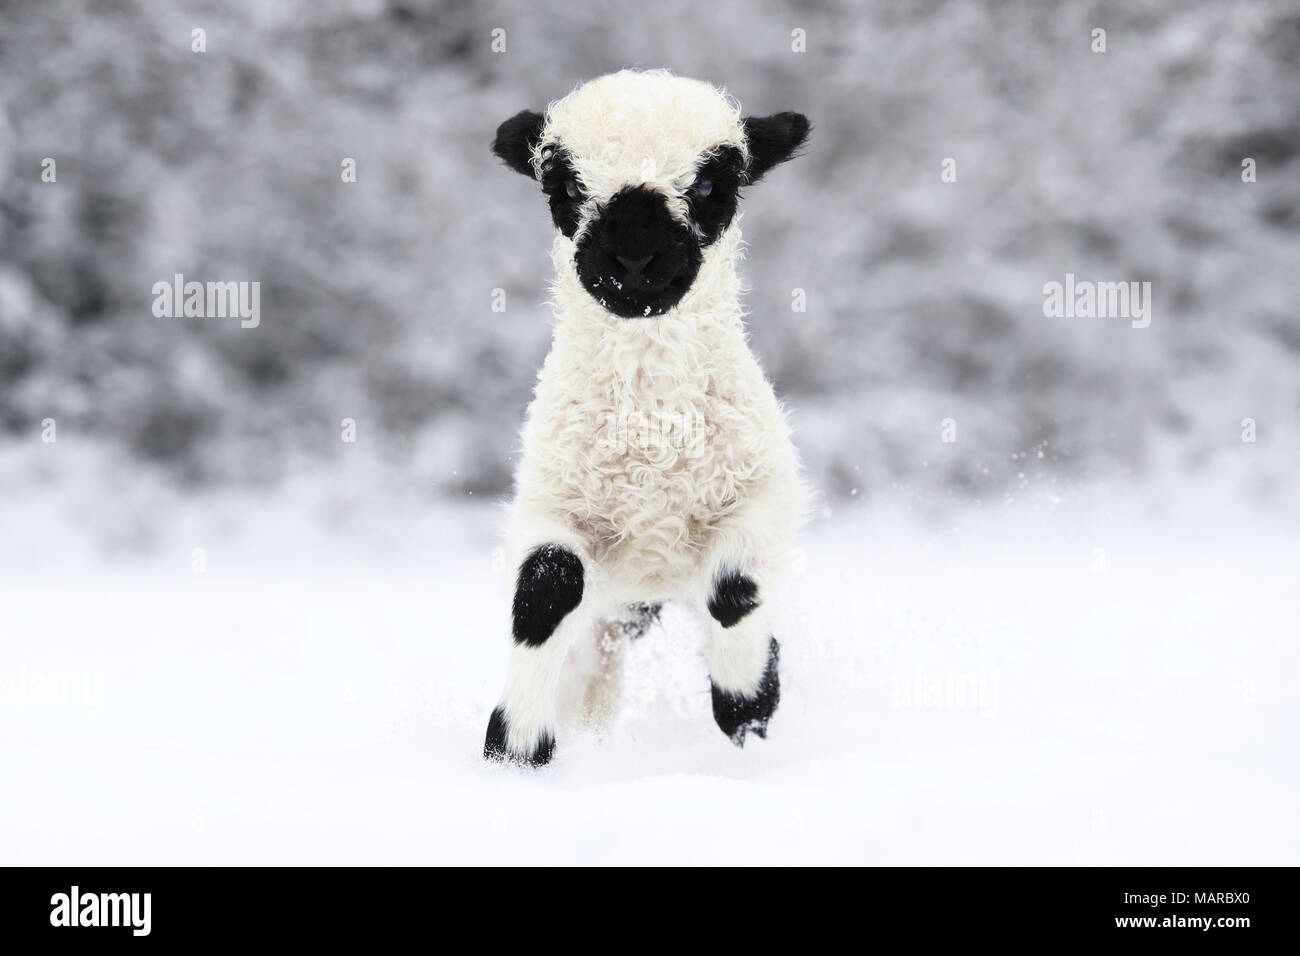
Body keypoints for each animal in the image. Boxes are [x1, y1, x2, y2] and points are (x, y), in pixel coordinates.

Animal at [488, 70, 811, 764]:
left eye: (714, 185)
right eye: (564, 187)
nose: (633, 259)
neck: (651, 427)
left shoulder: (765, 495)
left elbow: (734, 589)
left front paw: (745, 703)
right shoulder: (549, 501)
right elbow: (544, 592)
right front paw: (518, 746)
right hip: (619, 601)